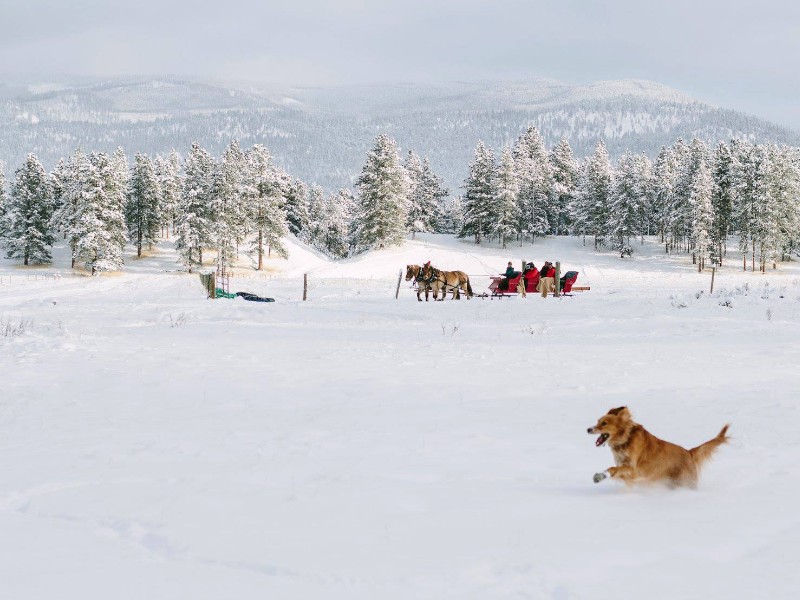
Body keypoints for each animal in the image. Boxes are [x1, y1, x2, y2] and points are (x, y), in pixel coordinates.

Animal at [584, 406, 728, 490]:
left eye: (604, 423)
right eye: (598, 421)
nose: (588, 429)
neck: (625, 439)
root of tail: (689, 452)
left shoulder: (635, 470)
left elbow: (614, 469)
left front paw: (601, 475)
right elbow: (619, 472)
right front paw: (601, 476)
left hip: (684, 481)